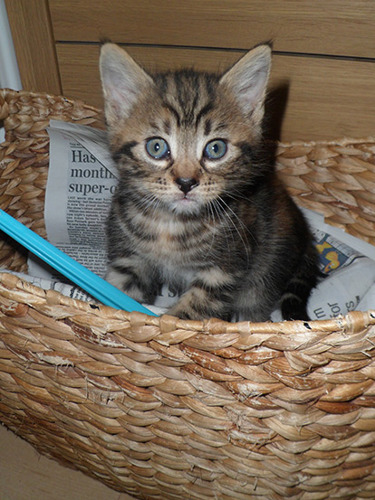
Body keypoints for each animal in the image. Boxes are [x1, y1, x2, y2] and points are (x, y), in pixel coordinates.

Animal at [98, 42, 318, 320]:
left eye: (216, 149)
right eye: (156, 147)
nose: (186, 182)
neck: (170, 226)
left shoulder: (222, 271)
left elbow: (189, 314)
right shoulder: (128, 259)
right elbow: (117, 293)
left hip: (268, 267)